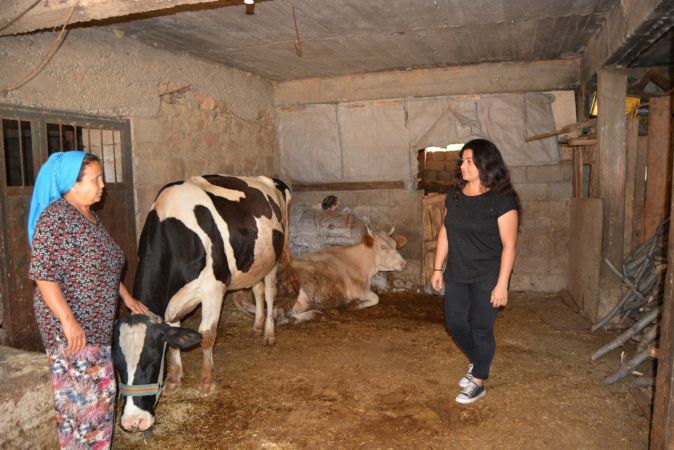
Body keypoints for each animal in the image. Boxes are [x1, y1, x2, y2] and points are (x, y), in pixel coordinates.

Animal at [112, 174, 288, 430]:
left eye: (152, 361)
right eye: (117, 365)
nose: (134, 422)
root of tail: (269, 179)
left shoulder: (213, 289)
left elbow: (206, 335)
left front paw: (206, 380)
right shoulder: (173, 302)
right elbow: (175, 338)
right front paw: (175, 378)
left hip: (274, 259)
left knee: (270, 293)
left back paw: (268, 333)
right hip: (254, 263)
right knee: (256, 290)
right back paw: (256, 325)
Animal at [235, 229, 404, 324]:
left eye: (395, 245)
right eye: (383, 247)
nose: (404, 264)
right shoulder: (357, 290)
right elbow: (376, 298)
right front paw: (356, 305)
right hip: (297, 298)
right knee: (283, 317)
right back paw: (314, 313)